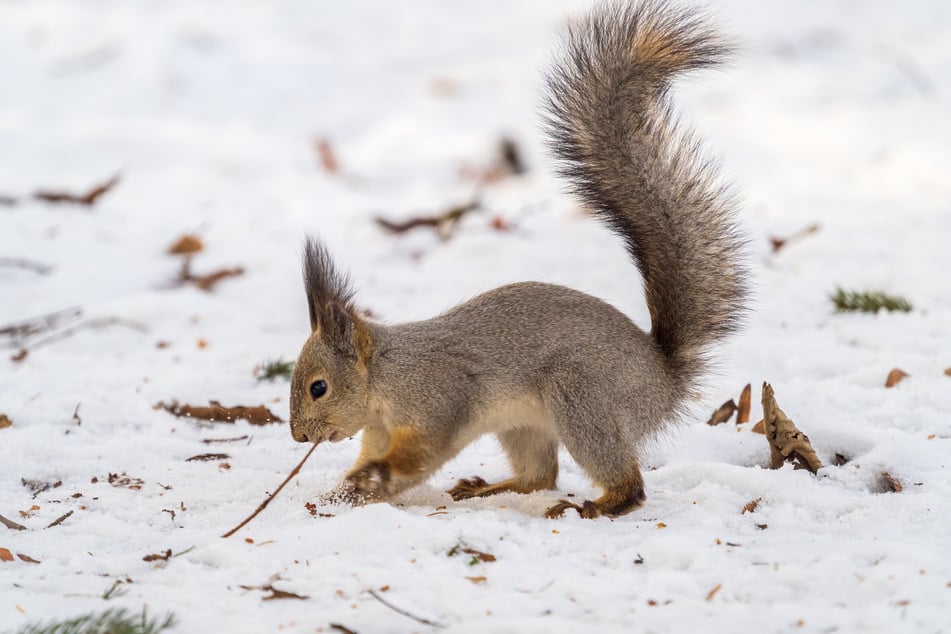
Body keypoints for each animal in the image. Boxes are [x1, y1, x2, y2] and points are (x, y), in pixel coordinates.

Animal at [286, 1, 748, 520]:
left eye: (318, 387)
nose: (298, 436)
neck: (384, 376)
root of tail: (663, 382)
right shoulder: (381, 429)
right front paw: (348, 489)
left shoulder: (437, 399)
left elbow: (421, 453)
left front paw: (373, 478)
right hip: (524, 424)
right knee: (539, 475)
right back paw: (486, 489)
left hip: (583, 398)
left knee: (624, 481)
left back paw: (598, 505)